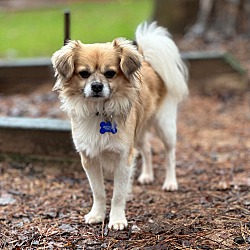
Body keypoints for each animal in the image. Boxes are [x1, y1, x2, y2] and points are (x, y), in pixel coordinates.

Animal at [51, 23, 188, 230]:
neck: (99, 111)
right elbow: (98, 191)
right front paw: (97, 215)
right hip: (138, 134)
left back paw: (171, 182)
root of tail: (148, 62)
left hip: (165, 126)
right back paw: (147, 175)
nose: (97, 86)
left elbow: (118, 193)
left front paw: (117, 220)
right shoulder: (89, 158)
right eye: (84, 74)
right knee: (147, 150)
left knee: (170, 155)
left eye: (110, 73)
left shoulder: (124, 157)